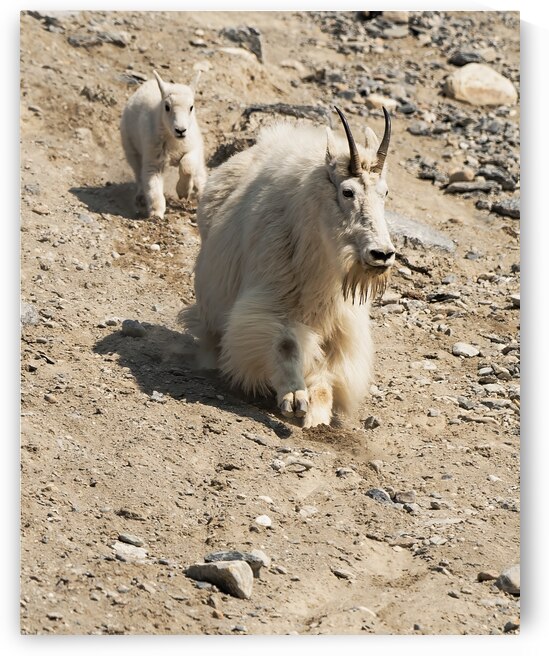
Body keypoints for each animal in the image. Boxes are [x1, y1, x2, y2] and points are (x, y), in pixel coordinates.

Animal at [120, 69, 207, 219]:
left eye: (191, 107)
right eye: (167, 107)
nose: (180, 130)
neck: (174, 141)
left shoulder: (193, 148)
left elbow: (187, 166)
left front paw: (183, 191)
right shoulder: (153, 159)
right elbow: (152, 184)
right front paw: (156, 214)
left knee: (200, 174)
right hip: (131, 149)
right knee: (139, 174)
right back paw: (140, 198)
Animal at [183, 107, 395, 428]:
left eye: (384, 192)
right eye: (347, 192)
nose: (381, 254)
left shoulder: (341, 323)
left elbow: (328, 365)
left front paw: (318, 410)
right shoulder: (274, 297)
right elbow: (285, 344)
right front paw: (294, 398)